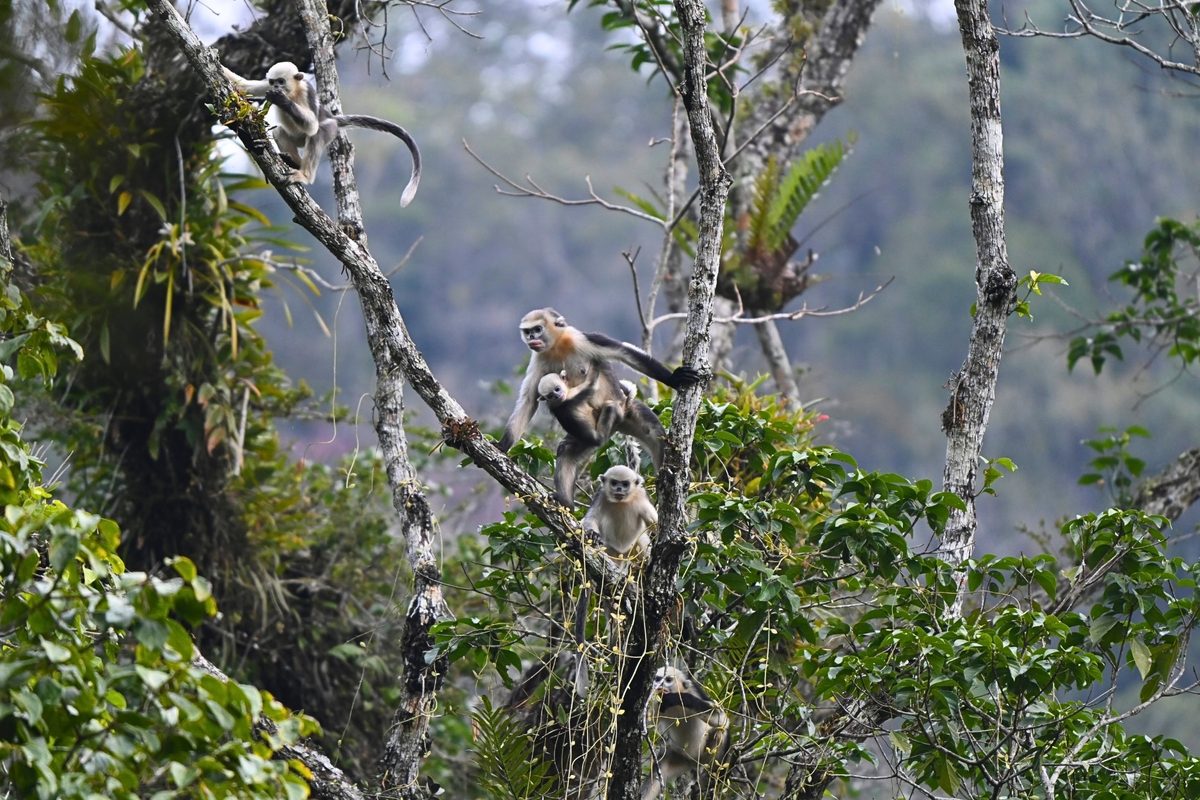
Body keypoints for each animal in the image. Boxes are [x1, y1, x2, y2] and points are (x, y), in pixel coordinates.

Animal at [222, 62, 421, 205]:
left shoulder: (305, 92)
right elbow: (245, 86)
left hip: (329, 129)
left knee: (317, 133)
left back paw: (304, 175)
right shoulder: (266, 86)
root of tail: (332, 117)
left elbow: (311, 125)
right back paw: (294, 161)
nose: (277, 88)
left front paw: (281, 100)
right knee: (280, 130)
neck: (293, 92)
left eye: (281, 81)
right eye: (273, 82)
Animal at [500, 308, 702, 505]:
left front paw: (674, 379)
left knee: (656, 436)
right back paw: (565, 503)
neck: (557, 347)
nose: (531, 338)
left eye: (537, 329)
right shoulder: (539, 360)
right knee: (567, 450)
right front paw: (502, 446)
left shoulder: (581, 339)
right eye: (527, 331)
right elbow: (529, 400)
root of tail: (618, 423)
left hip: (627, 410)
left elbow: (624, 352)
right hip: (593, 431)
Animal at [641, 666, 730, 800]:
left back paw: (712, 780)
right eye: (657, 679)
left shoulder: (694, 691)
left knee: (720, 731)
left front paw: (675, 698)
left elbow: (721, 718)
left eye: (668, 680)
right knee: (657, 772)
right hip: (678, 757)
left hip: (705, 757)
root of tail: (693, 761)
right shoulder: (656, 704)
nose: (658, 685)